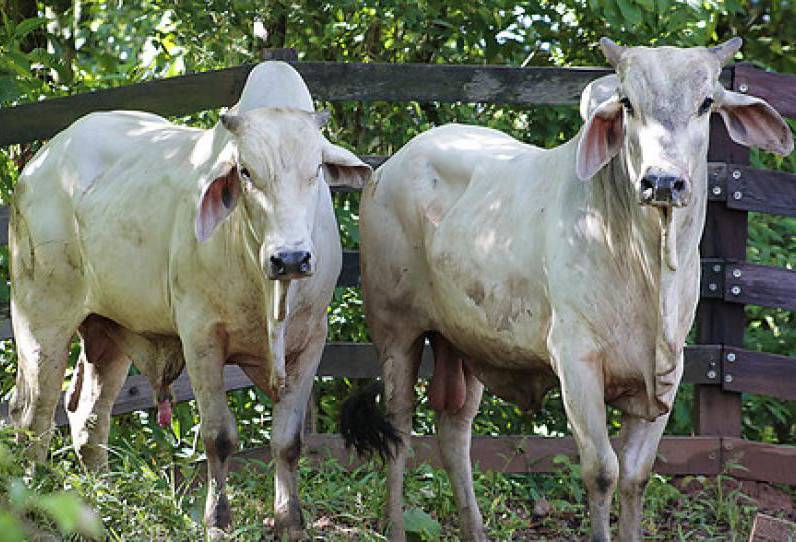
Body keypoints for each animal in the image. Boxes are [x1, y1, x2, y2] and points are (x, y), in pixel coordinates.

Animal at [8, 61, 370, 540]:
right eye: (246, 172)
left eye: (316, 171)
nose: (291, 257)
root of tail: (42, 160)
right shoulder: (201, 337)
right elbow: (219, 437)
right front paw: (217, 520)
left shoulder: (311, 341)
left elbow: (287, 442)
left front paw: (290, 522)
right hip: (40, 318)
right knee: (33, 415)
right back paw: (31, 506)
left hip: (107, 331)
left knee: (88, 417)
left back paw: (102, 504)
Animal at [341, 38, 792, 541]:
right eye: (628, 103)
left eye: (706, 102)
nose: (662, 182)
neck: (647, 267)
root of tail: (392, 163)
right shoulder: (577, 363)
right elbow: (603, 471)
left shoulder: (668, 375)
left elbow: (636, 475)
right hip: (396, 331)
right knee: (399, 430)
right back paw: (397, 526)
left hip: (464, 341)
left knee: (454, 432)